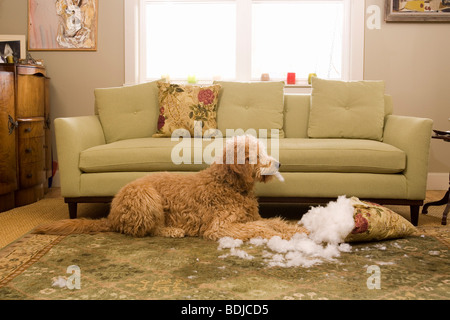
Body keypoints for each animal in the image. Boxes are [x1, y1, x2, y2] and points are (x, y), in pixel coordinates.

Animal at [33, 135, 304, 240]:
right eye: (256, 155)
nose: (279, 163)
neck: (230, 184)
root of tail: (112, 215)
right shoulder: (221, 226)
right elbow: (262, 228)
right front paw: (283, 235)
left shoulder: (252, 216)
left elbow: (274, 221)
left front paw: (297, 229)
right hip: (146, 197)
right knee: (146, 230)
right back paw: (172, 230)